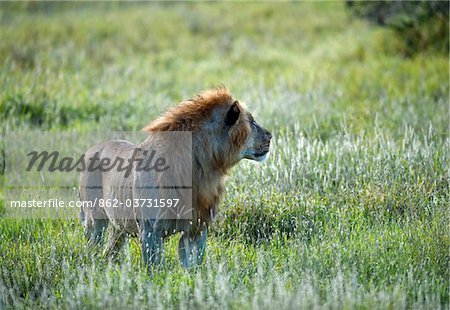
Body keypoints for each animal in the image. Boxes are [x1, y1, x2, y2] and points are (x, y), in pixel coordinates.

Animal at [79, 87, 272, 268]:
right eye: (252, 122)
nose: (270, 135)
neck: (204, 170)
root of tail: (92, 149)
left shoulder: (197, 227)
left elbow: (192, 264)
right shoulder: (151, 230)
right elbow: (154, 267)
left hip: (119, 225)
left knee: (110, 250)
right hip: (94, 220)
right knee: (92, 246)